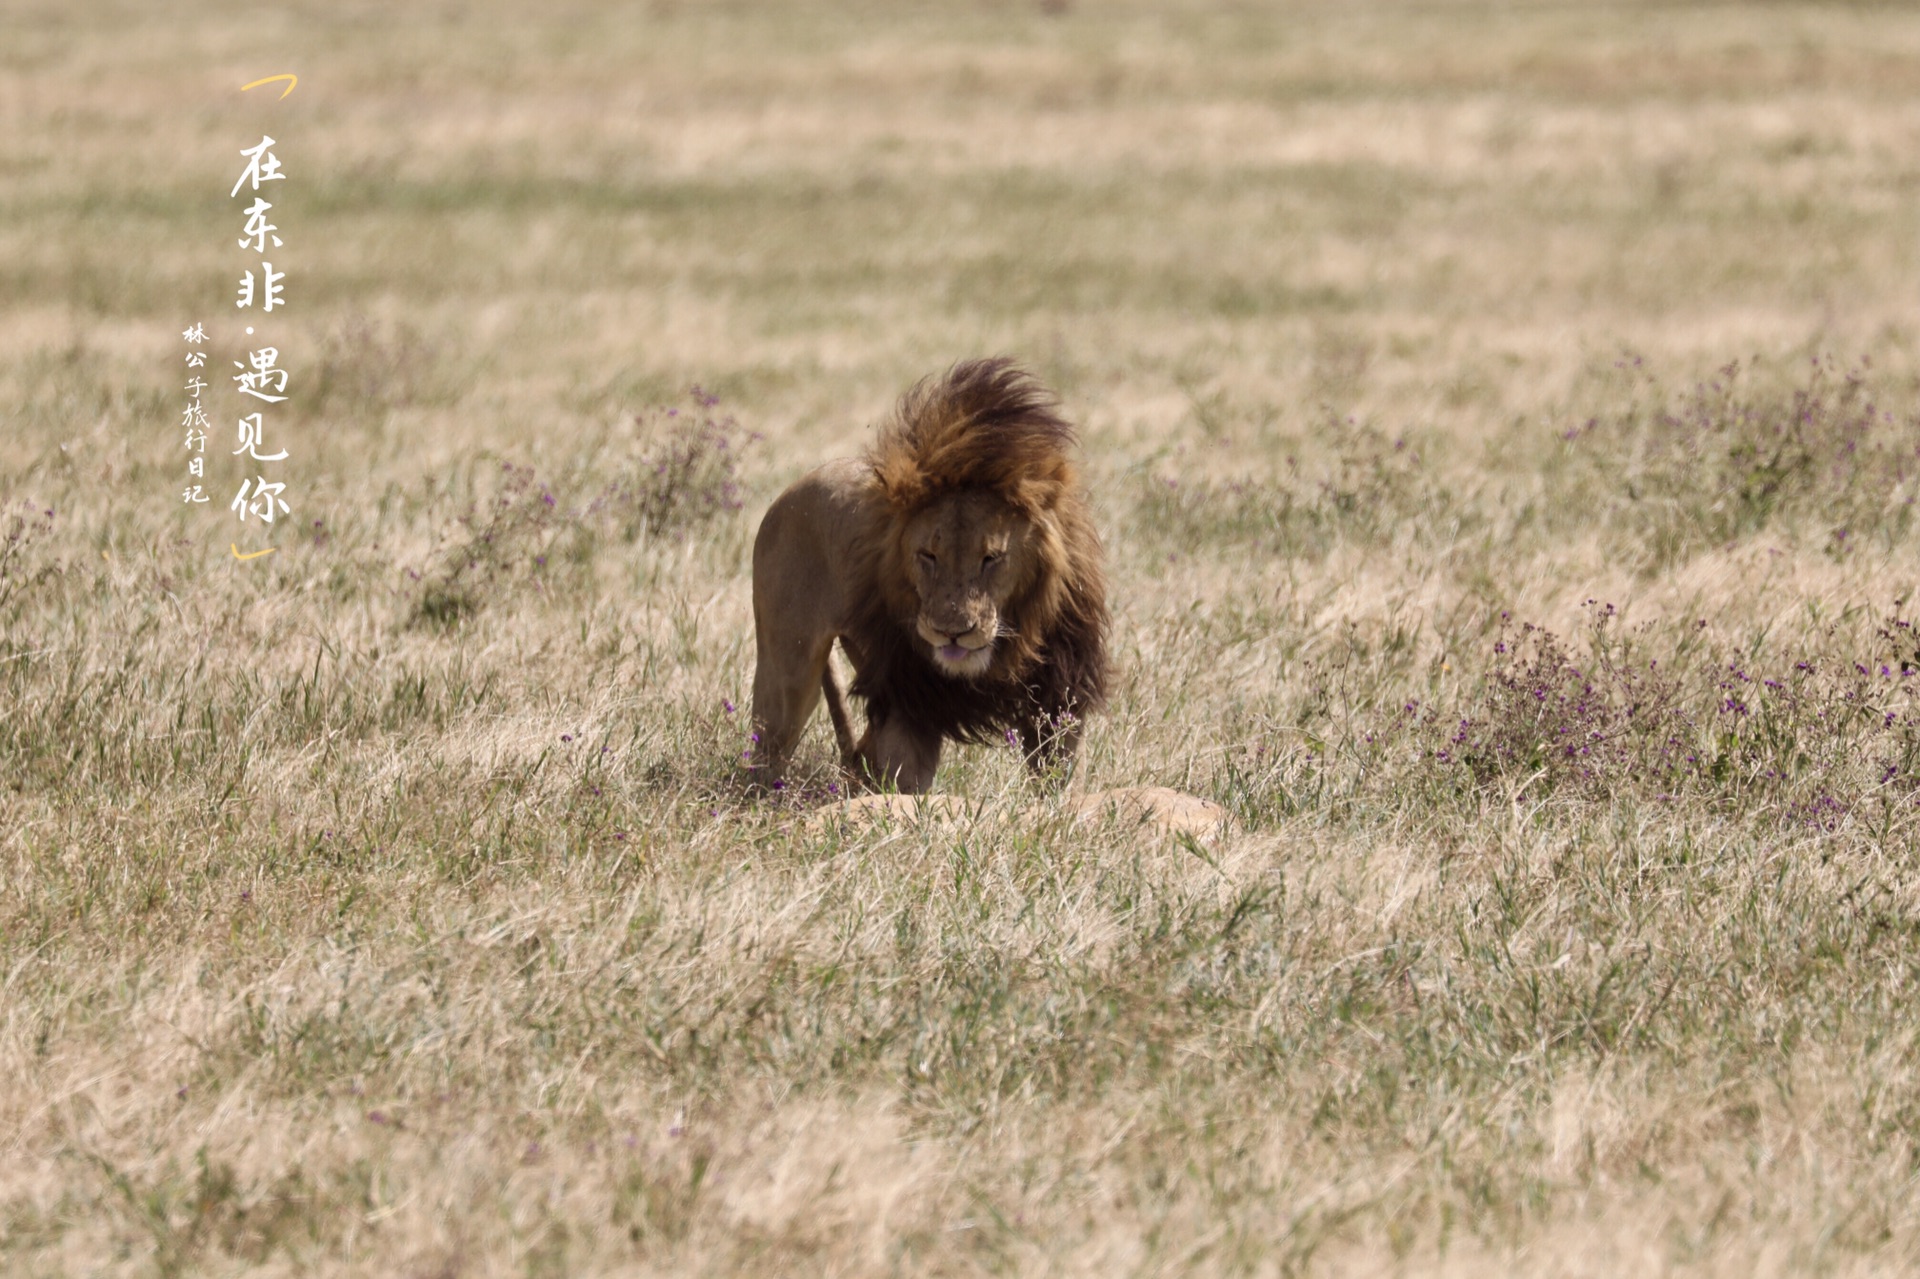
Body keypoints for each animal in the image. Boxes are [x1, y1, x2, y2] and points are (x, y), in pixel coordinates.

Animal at [748, 359, 1113, 791]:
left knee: (858, 755)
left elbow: (1060, 777)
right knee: (768, 748)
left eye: (991, 557)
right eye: (928, 556)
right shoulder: (906, 696)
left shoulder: (1060, 693)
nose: (951, 632)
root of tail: (791, 489)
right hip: (787, 675)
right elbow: (906, 787)